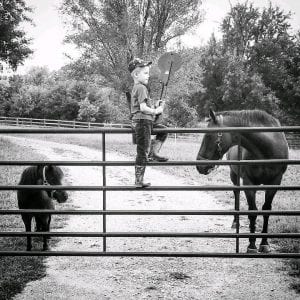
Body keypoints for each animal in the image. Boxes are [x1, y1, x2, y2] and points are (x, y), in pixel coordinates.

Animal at [196, 109, 290, 252]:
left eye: (208, 136)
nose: (199, 166)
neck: (266, 150)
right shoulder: (248, 183)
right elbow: (252, 212)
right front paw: (251, 245)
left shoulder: (275, 182)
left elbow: (266, 211)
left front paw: (264, 243)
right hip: (234, 175)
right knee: (236, 194)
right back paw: (236, 222)